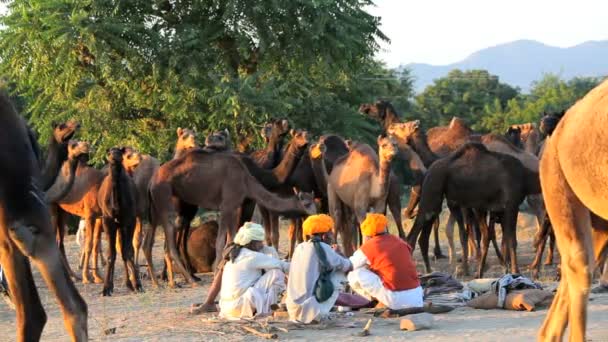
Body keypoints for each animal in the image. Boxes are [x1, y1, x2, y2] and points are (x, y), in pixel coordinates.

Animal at [97, 148, 142, 296]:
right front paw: (106, 288)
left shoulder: (129, 220)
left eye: (120, 152)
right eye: (109, 152)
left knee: (123, 251)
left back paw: (129, 284)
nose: (114, 156)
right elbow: (111, 254)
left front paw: (138, 285)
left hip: (122, 225)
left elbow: (128, 251)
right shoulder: (108, 221)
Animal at [146, 148, 308, 288]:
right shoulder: (227, 206)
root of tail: (152, 181)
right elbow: (221, 242)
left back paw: (170, 281)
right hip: (165, 198)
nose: (310, 213)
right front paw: (217, 272)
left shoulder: (234, 207)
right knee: (170, 241)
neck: (246, 179)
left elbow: (231, 239)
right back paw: (188, 280)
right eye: (307, 203)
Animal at [408, 142, 540, 278]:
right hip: (432, 192)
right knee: (413, 235)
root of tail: (428, 172)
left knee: (424, 236)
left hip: (438, 202)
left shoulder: (494, 209)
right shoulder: (511, 205)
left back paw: (430, 271)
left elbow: (495, 237)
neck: (525, 177)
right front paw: (515, 271)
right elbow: (511, 240)